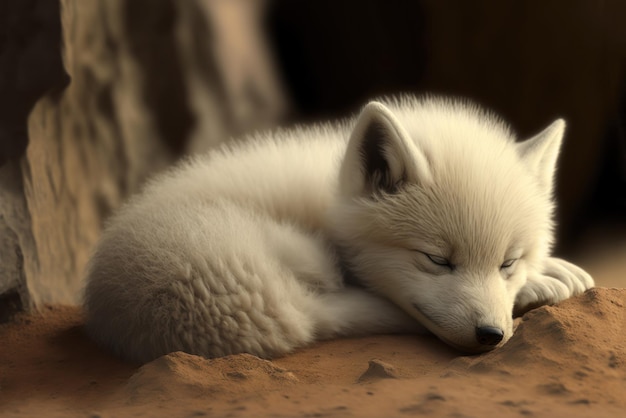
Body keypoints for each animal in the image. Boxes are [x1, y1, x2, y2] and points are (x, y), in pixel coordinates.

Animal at [83, 94, 588, 362]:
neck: (328, 200)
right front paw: (542, 282)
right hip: (291, 257)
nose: (490, 336)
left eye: (507, 263)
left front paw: (546, 273)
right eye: (436, 260)